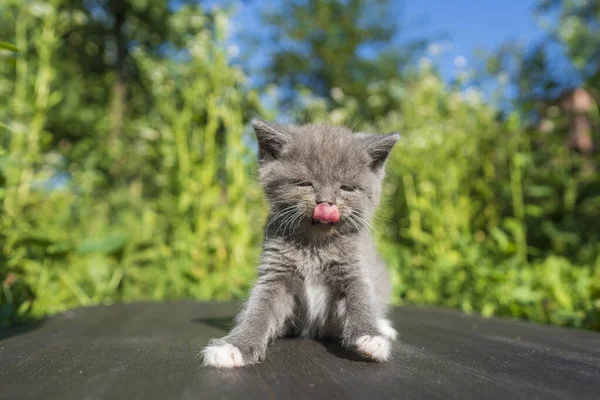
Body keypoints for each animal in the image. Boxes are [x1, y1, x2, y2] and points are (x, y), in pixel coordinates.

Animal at [202, 119, 398, 368]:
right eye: (305, 184)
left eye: (346, 188)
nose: (326, 203)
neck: (315, 246)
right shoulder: (275, 273)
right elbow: (259, 309)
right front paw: (235, 346)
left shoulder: (355, 268)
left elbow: (361, 298)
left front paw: (371, 338)